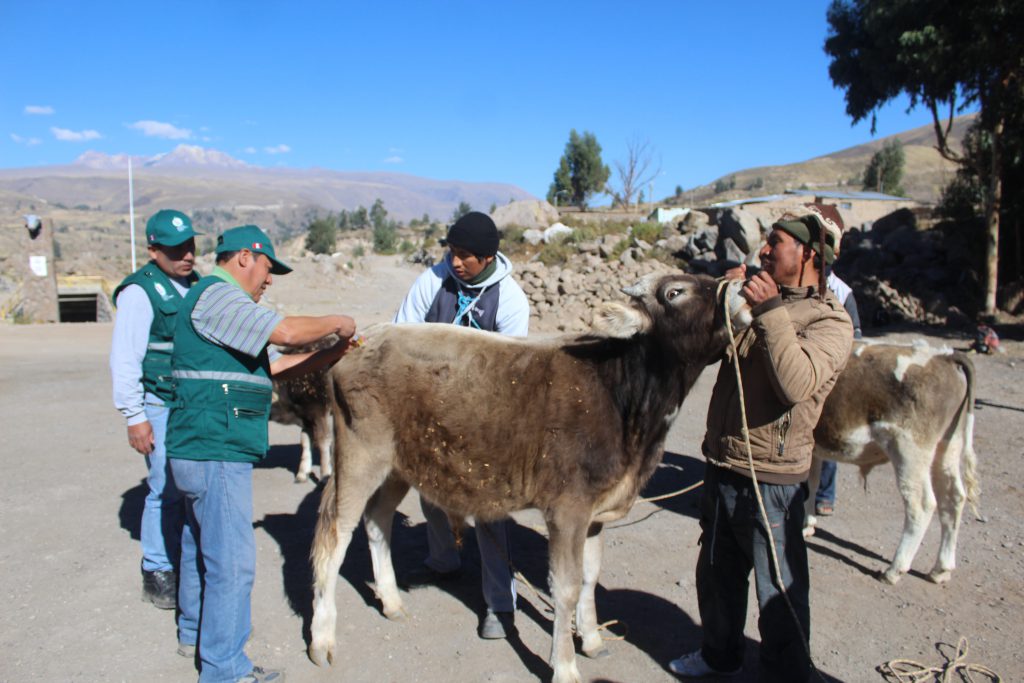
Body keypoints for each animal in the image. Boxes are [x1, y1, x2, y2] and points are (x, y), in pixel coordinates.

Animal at [307, 274, 749, 683]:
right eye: (675, 292)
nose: (741, 286)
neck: (622, 398)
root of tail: (366, 339)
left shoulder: (595, 513)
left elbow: (589, 579)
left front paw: (591, 639)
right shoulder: (567, 511)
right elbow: (566, 586)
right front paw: (565, 666)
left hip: (398, 466)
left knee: (377, 521)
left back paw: (392, 601)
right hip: (360, 458)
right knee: (335, 539)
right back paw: (322, 640)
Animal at [806, 339, 983, 585]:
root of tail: (943, 356)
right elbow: (810, 484)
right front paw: (806, 525)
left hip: (910, 450)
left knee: (921, 504)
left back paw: (894, 570)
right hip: (948, 446)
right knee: (953, 498)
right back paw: (941, 569)